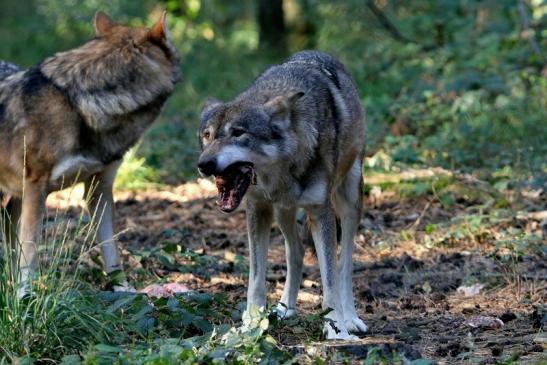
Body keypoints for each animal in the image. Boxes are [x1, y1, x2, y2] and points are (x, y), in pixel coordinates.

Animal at [0, 9, 181, 292]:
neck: (81, 105)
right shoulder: (35, 188)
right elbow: (29, 252)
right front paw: (25, 296)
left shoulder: (100, 189)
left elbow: (111, 249)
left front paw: (124, 290)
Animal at [197, 50, 368, 338]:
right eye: (207, 135)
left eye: (238, 133)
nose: (204, 164)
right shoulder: (257, 209)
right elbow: (256, 280)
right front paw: (251, 325)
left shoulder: (320, 213)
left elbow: (330, 282)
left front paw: (336, 331)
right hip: (282, 211)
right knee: (296, 252)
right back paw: (284, 308)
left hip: (349, 204)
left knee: (344, 266)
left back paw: (351, 319)